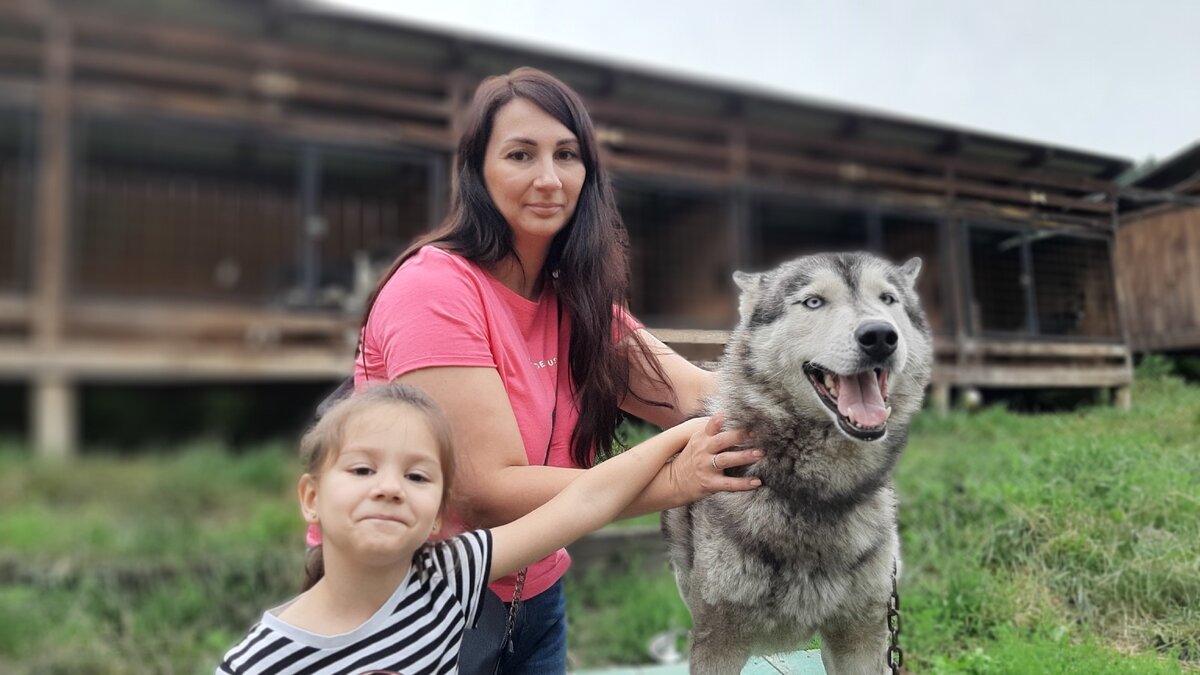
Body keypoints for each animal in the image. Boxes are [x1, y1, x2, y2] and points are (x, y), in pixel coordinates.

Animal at [662, 252, 931, 672]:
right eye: (814, 301)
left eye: (888, 299)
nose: (880, 336)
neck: (820, 494)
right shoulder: (718, 639)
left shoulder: (860, 635)